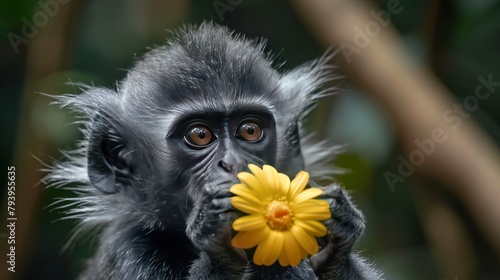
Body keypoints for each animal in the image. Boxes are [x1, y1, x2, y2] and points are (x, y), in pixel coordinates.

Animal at [47, 22, 382, 280]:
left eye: (249, 130)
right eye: (199, 135)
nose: (233, 163)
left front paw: (338, 237)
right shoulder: (131, 253)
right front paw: (217, 244)